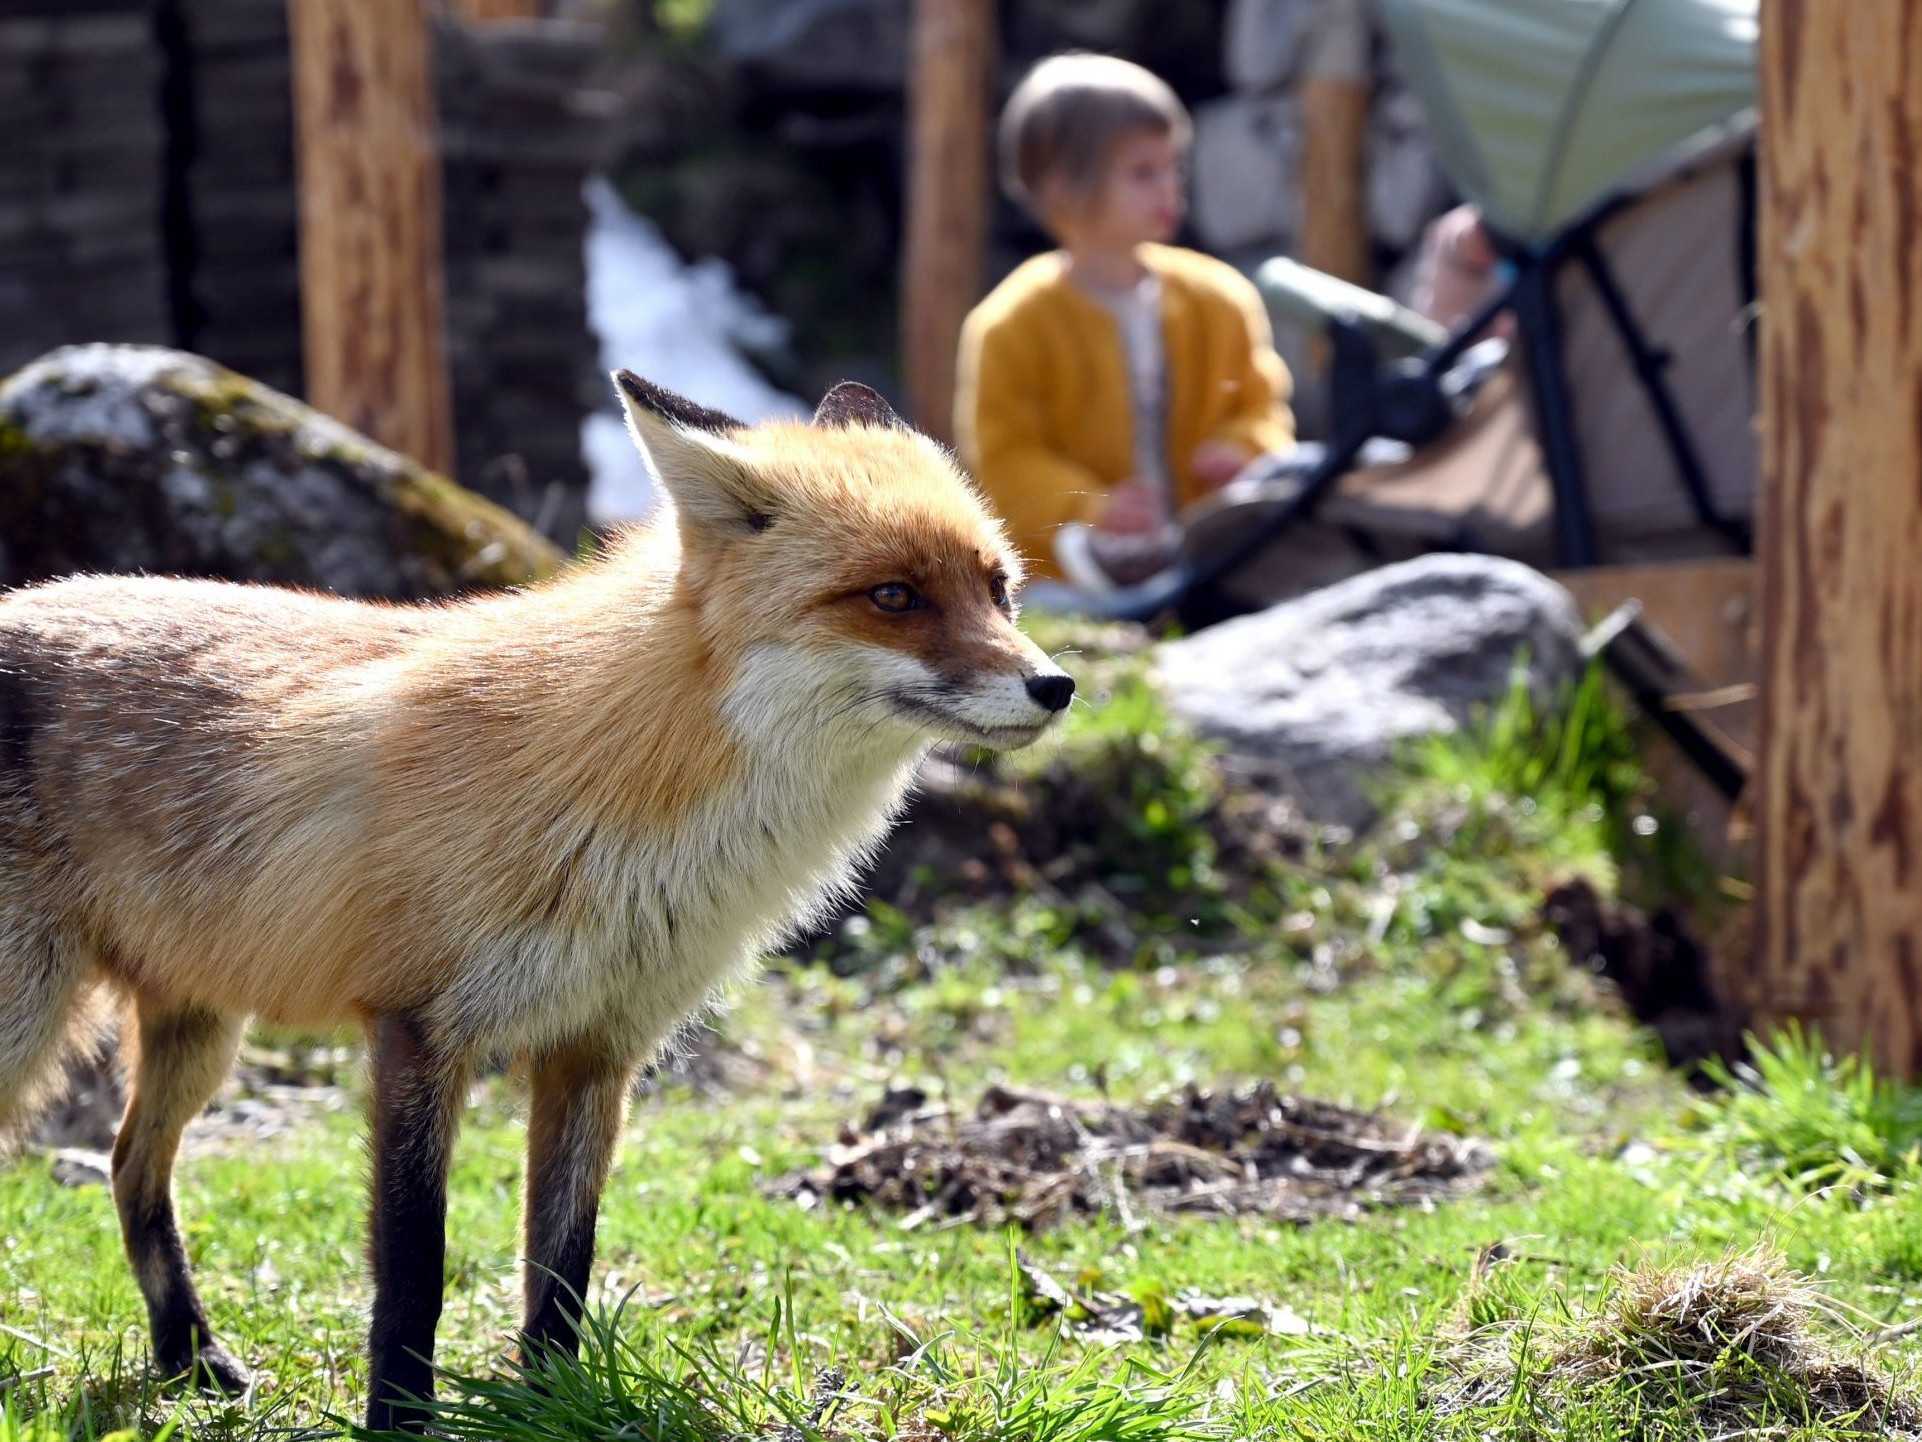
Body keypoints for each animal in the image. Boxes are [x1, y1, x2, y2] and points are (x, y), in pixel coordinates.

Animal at [0, 372, 1076, 1438]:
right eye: (892, 596)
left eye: (997, 588)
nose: (1056, 685)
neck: (618, 785)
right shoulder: (419, 1030)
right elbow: (415, 1268)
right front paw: (399, 1419)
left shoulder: (598, 1047)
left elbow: (563, 1264)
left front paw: (550, 1403)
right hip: (31, 1026)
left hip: (199, 1030)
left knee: (128, 1166)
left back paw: (188, 1355)